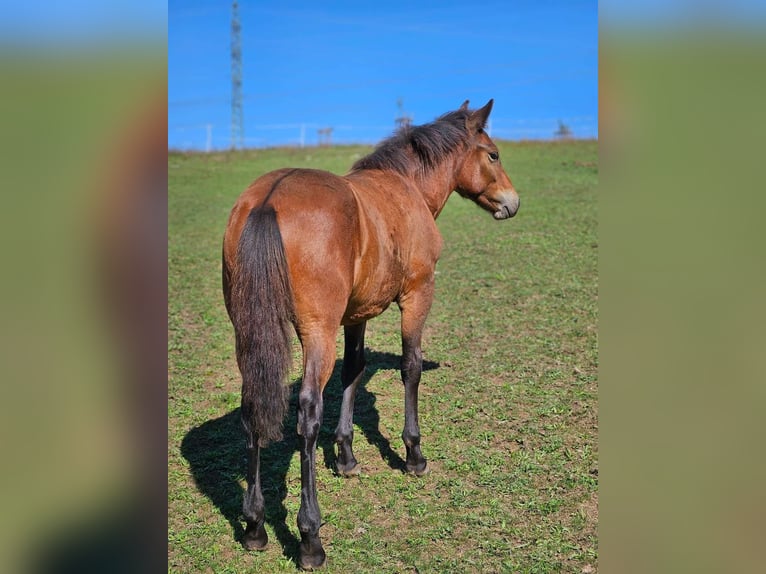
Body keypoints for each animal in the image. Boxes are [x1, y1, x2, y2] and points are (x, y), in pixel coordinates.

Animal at [224, 100, 520, 572]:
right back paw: (310, 537)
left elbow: (354, 371)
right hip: (317, 333)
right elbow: (411, 367)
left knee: (254, 406)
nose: (512, 202)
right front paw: (414, 454)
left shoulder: (356, 315)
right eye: (492, 154)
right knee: (307, 416)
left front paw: (346, 456)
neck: (407, 189)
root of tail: (267, 200)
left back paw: (254, 525)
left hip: (250, 333)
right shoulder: (417, 294)